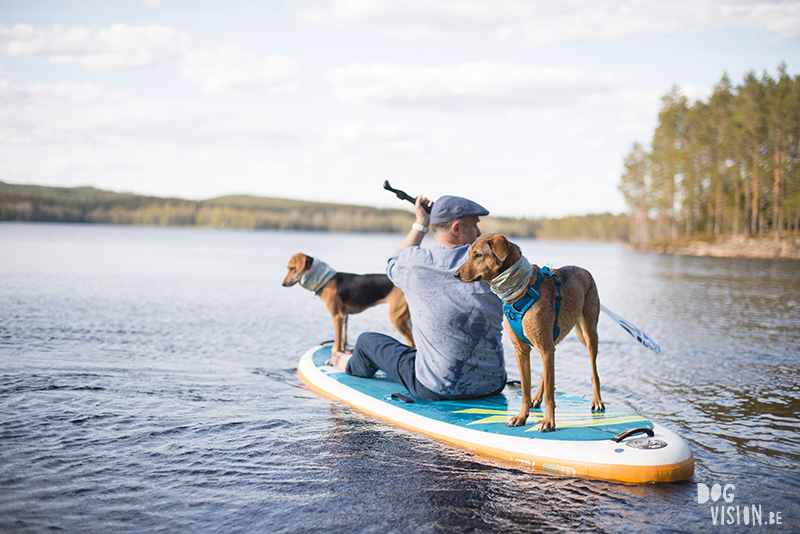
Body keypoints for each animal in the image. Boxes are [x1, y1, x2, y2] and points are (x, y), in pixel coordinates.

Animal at [284, 253, 416, 354]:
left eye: (292, 268)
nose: (283, 284)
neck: (324, 279)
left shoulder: (337, 316)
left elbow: (337, 338)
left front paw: (334, 356)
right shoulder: (344, 316)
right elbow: (343, 338)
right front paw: (341, 352)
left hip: (396, 318)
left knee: (412, 343)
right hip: (406, 319)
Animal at [456, 234, 600, 432]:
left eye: (478, 255)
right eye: (469, 253)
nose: (455, 274)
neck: (520, 290)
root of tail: (584, 270)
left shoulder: (545, 348)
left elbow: (550, 394)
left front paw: (548, 422)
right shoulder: (523, 351)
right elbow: (525, 389)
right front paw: (521, 417)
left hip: (589, 334)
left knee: (593, 372)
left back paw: (597, 401)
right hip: (552, 340)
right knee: (546, 374)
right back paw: (536, 397)